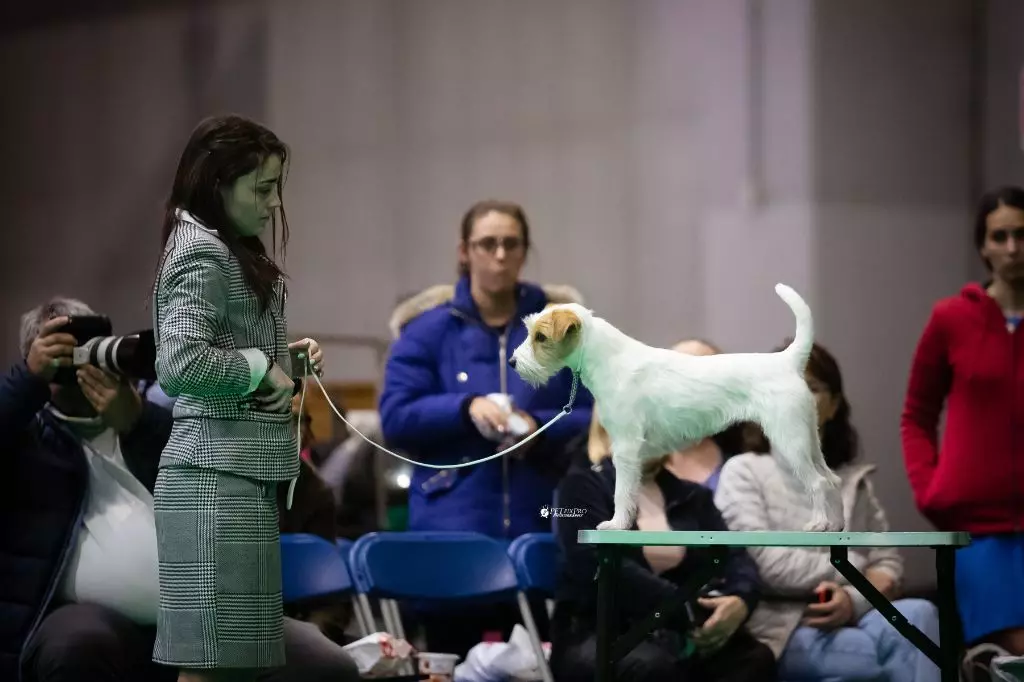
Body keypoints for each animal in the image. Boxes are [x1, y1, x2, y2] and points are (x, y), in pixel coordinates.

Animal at [507, 280, 843, 532]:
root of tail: (787, 361)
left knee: (816, 482)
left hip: (789, 440)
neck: (608, 358)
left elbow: (621, 491)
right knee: (831, 478)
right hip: (808, 439)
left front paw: (616, 524)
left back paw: (818, 523)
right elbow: (631, 491)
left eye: (540, 337)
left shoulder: (625, 447)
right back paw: (834, 524)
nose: (512, 362)